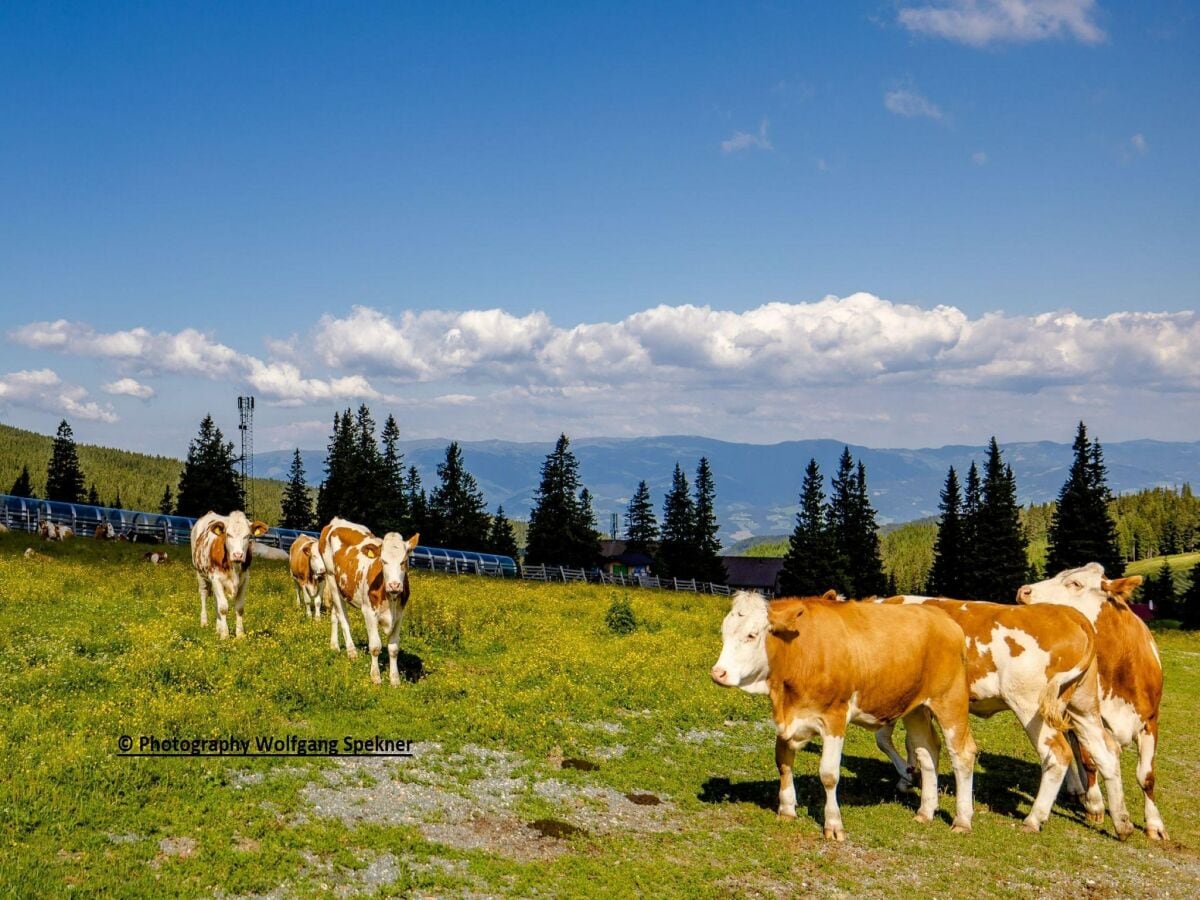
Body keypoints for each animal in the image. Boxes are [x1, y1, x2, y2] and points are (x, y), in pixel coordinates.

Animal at [189, 513, 267, 643]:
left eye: (247, 536)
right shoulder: (216, 578)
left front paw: (240, 634)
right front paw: (225, 635)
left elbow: (239, 608)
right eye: (228, 534)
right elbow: (223, 608)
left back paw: (218, 628)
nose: (238, 555)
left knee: (216, 602)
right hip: (200, 574)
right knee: (204, 594)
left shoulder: (245, 579)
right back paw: (204, 623)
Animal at [319, 518, 422, 686]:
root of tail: (337, 521)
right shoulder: (369, 612)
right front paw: (375, 677)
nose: (394, 585)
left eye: (404, 561)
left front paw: (395, 680)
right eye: (383, 561)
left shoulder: (400, 615)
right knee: (343, 619)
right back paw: (351, 652)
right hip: (331, 577)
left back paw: (334, 646)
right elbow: (375, 646)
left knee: (335, 615)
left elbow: (394, 648)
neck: (390, 599)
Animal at [710, 595, 974, 844]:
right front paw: (786, 810)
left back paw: (962, 820)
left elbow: (828, 774)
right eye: (724, 632)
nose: (718, 673)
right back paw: (926, 811)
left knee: (962, 754)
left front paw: (833, 824)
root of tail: (942, 617)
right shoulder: (786, 718)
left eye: (751, 635)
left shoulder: (834, 718)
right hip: (915, 708)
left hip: (950, 700)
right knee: (927, 751)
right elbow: (783, 762)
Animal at [1017, 566, 1166, 844]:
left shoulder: (1150, 721)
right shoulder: (1086, 718)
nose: (1024, 591)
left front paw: (1155, 825)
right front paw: (1095, 805)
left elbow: (1147, 776)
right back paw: (1079, 789)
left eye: (1075, 583)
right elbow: (1089, 761)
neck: (1119, 666)